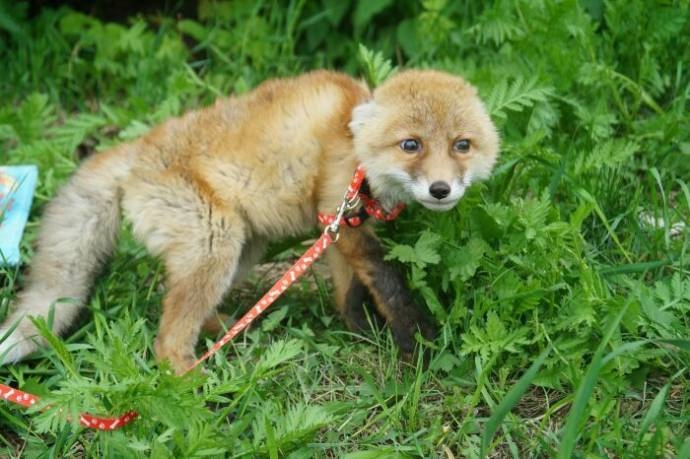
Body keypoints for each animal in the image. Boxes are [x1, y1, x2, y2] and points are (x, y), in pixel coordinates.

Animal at [0, 70, 494, 376]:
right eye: (410, 144)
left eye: (461, 145)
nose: (440, 189)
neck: (354, 147)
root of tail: (136, 150)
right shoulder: (339, 206)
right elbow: (390, 284)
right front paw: (417, 342)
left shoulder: (336, 225)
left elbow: (349, 291)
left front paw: (360, 329)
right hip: (216, 242)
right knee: (167, 342)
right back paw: (192, 387)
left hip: (242, 248)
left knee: (182, 309)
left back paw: (225, 326)